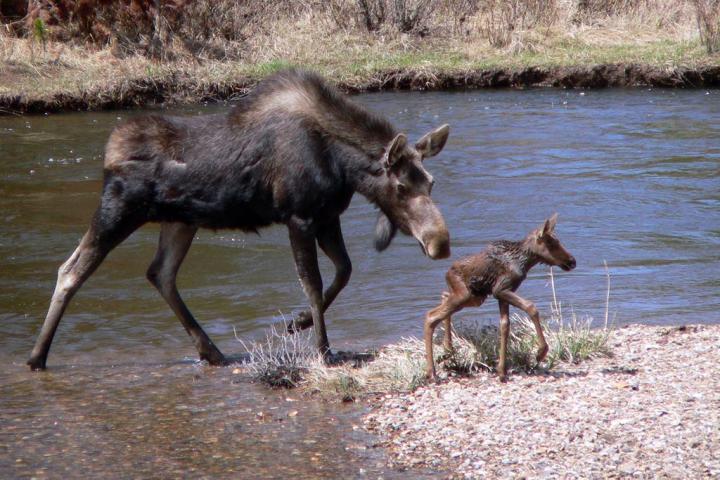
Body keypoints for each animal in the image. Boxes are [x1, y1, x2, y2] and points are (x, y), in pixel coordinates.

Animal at [27, 68, 453, 371]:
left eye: (431, 182)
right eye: (401, 186)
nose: (440, 242)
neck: (344, 167)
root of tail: (109, 152)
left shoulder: (327, 216)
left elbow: (344, 271)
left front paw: (297, 323)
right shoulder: (298, 217)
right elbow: (313, 284)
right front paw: (321, 348)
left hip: (181, 220)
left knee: (160, 273)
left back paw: (211, 350)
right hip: (119, 209)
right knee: (71, 270)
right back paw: (37, 356)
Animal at [424, 214, 576, 382]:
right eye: (551, 243)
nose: (572, 261)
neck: (525, 261)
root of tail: (447, 273)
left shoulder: (503, 294)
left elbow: (505, 325)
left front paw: (502, 370)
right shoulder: (500, 289)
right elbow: (531, 307)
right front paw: (541, 352)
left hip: (474, 297)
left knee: (444, 297)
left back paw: (448, 349)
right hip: (465, 295)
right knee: (431, 315)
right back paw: (432, 372)